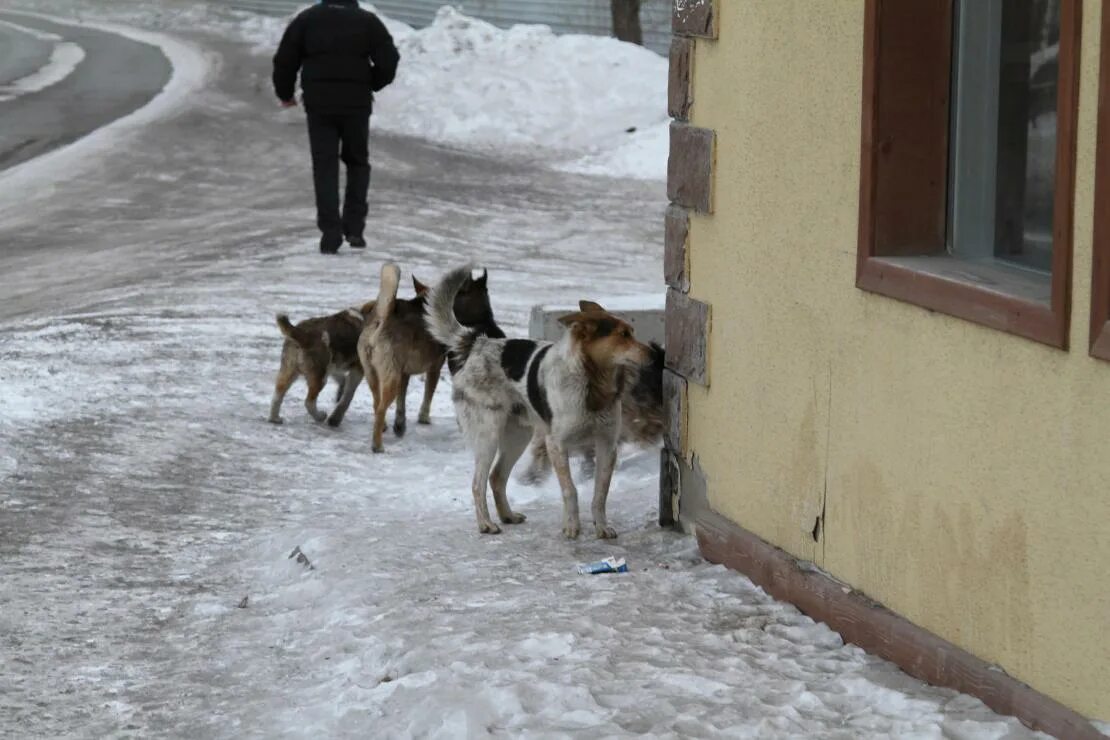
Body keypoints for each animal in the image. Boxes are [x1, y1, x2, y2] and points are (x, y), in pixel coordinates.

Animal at [357, 262, 501, 454]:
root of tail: (382, 318)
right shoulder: (434, 369)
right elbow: (428, 394)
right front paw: (423, 418)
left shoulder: (404, 373)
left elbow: (401, 403)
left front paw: (400, 425)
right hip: (391, 377)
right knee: (380, 409)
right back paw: (377, 445)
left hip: (373, 373)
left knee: (376, 402)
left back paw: (384, 428)